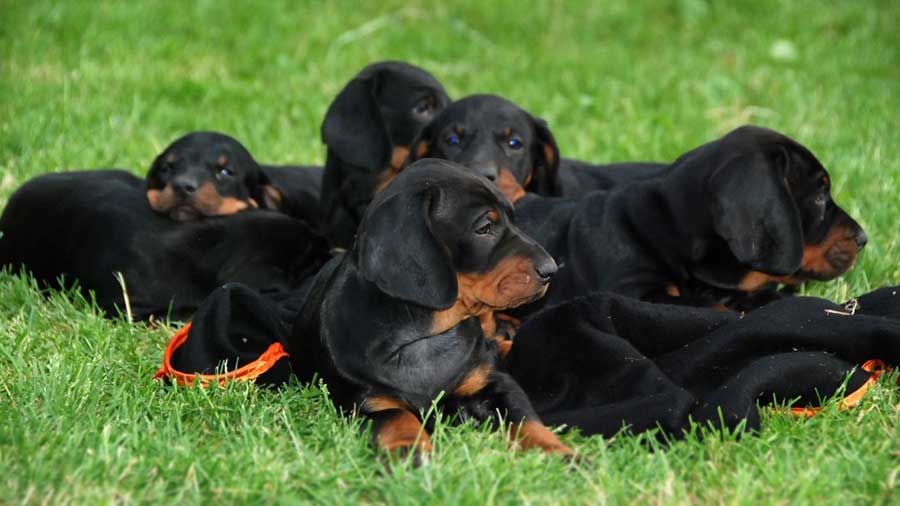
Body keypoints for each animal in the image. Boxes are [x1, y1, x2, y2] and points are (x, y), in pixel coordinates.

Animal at [292, 159, 572, 462]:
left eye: (513, 219)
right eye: (485, 227)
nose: (551, 270)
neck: (426, 334)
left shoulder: (493, 383)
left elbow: (525, 419)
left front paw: (560, 453)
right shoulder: (365, 402)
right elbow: (396, 418)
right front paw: (408, 450)